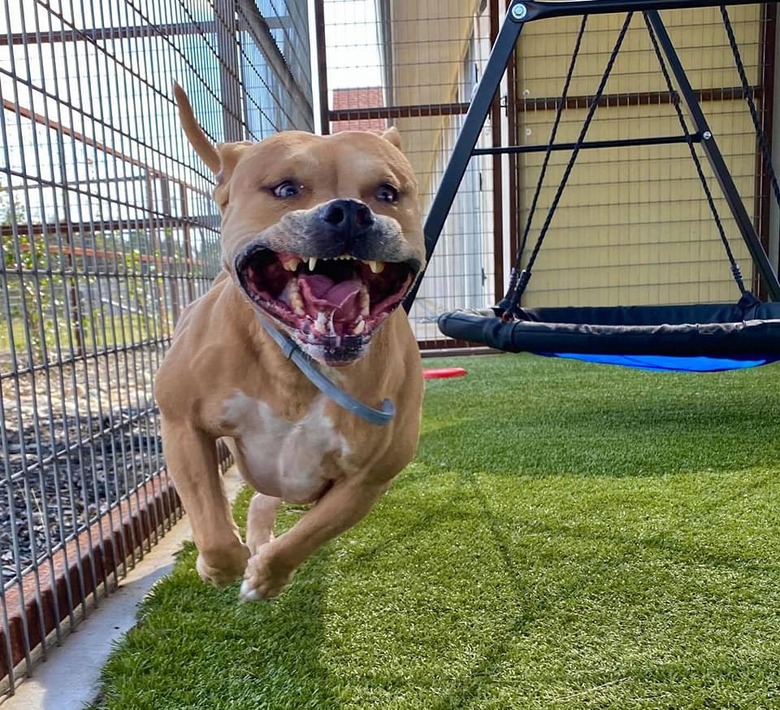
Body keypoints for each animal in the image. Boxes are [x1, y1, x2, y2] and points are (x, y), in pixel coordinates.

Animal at [155, 86, 424, 604]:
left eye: (387, 193)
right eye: (284, 189)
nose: (349, 212)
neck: (296, 367)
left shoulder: (367, 480)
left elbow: (308, 535)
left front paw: (265, 574)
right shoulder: (181, 425)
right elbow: (213, 529)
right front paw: (217, 566)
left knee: (266, 502)